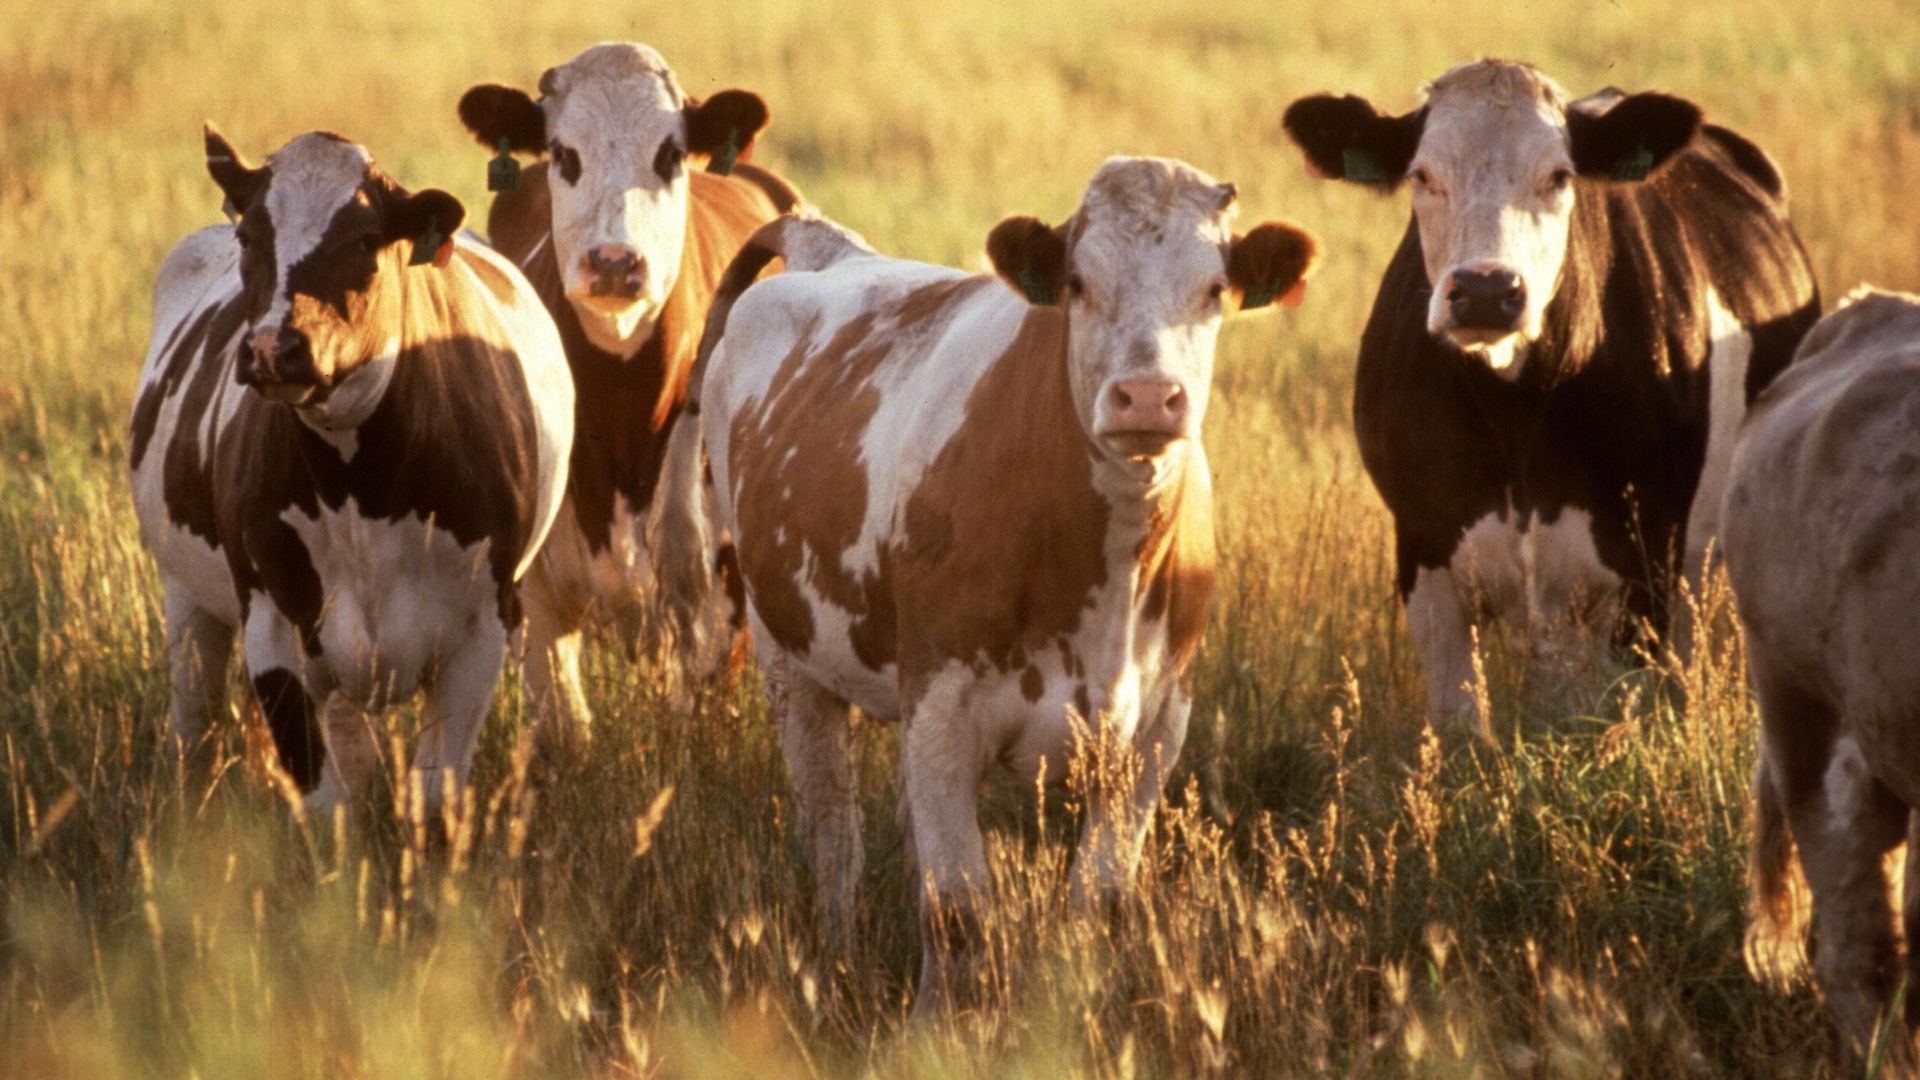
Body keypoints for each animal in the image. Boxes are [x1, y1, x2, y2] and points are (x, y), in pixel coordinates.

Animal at [129, 126, 573, 810]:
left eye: (365, 239)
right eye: (250, 236)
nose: (273, 349)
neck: (361, 487)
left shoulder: (483, 629)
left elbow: (434, 795)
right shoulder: (273, 627)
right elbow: (327, 801)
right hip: (188, 596)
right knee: (194, 725)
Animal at [655, 157, 1319, 1006]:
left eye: (1213, 289)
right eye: (1078, 283)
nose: (1146, 397)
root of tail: (828, 248)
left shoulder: (1155, 732)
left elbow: (1096, 902)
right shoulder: (942, 710)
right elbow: (957, 912)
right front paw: (934, 1024)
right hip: (790, 660)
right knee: (833, 833)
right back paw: (835, 960)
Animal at [1281, 60, 1819, 735]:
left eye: (1560, 176)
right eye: (1422, 175)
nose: (1486, 290)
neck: (1515, 413)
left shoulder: (1647, 560)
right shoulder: (1423, 550)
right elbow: (1462, 726)